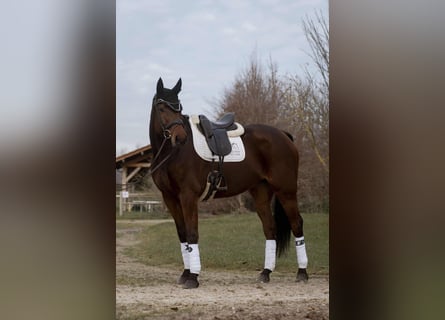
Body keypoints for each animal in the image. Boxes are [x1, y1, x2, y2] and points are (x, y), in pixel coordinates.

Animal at [149, 78, 308, 290]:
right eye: (162, 107)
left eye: (178, 107)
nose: (180, 138)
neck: (171, 153)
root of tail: (282, 135)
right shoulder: (170, 198)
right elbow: (182, 234)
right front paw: (185, 273)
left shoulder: (188, 196)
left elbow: (192, 234)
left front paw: (193, 277)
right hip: (261, 193)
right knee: (270, 228)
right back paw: (265, 272)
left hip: (286, 190)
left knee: (296, 223)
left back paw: (302, 272)